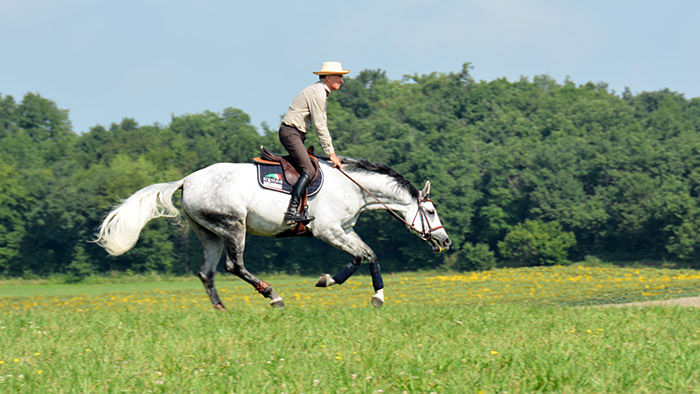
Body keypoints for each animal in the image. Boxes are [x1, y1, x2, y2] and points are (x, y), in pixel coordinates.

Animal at [95, 156, 452, 308]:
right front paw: (349, 286)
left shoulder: (345, 230)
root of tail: (187, 180)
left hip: (209, 233)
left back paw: (222, 310)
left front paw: (366, 292)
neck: (353, 188)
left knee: (207, 273)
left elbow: (367, 256)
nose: (444, 241)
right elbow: (362, 256)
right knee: (233, 265)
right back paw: (273, 296)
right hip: (232, 226)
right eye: (430, 211)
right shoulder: (328, 230)